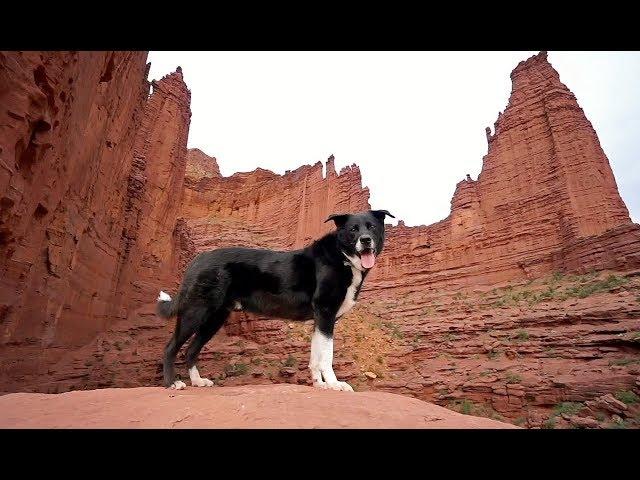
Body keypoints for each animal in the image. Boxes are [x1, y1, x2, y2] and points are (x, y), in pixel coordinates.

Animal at [158, 208, 392, 392]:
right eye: (353, 229)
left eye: (371, 227)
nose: (365, 240)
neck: (342, 257)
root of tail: (199, 259)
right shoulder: (325, 313)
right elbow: (326, 356)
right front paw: (335, 384)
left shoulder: (320, 320)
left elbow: (315, 356)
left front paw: (320, 384)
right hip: (196, 311)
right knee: (171, 347)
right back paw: (172, 383)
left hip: (214, 318)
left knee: (191, 349)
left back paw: (198, 381)